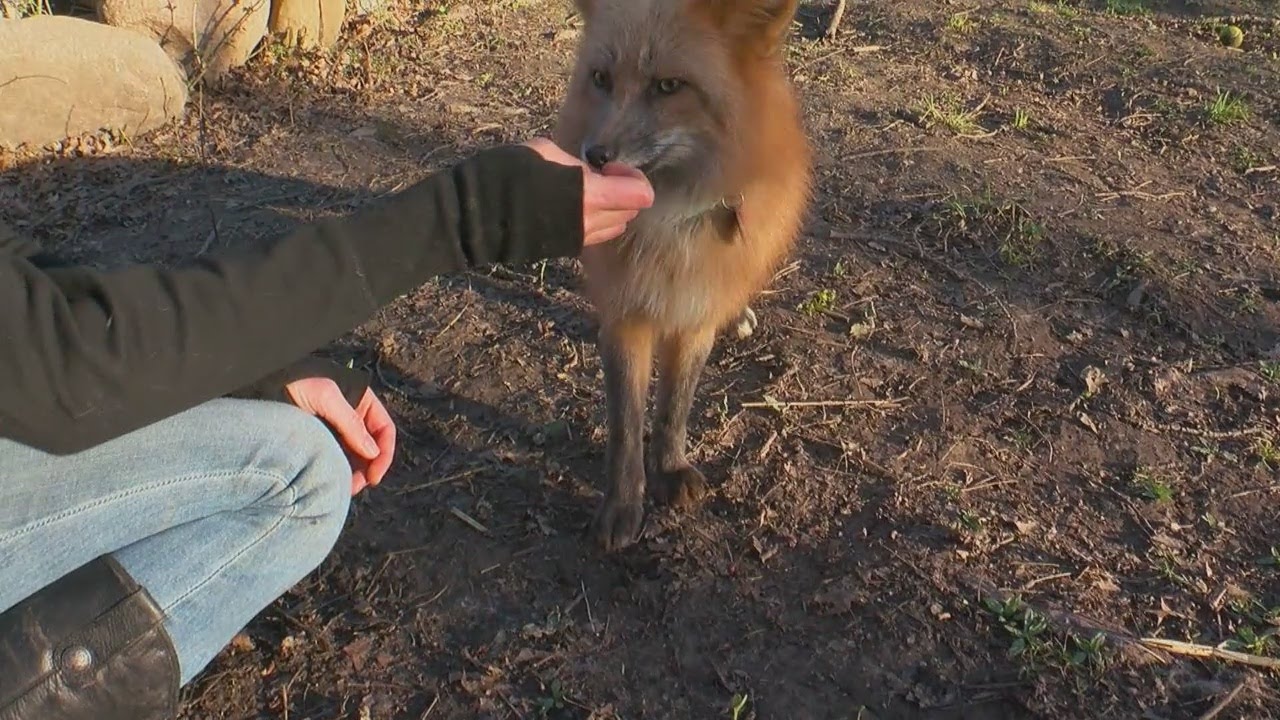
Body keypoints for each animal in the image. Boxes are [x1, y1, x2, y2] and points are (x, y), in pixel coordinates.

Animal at [552, 0, 813, 551]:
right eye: (602, 78)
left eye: (669, 86)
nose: (595, 157)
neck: (669, 224)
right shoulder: (625, 316)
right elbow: (626, 426)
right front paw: (623, 504)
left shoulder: (695, 311)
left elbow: (675, 404)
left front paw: (669, 469)